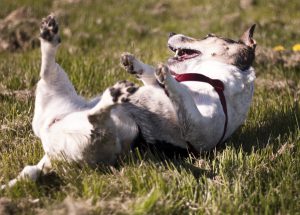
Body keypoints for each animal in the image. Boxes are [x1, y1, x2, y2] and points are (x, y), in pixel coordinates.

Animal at [1, 14, 255, 187]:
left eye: (209, 36)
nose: (169, 33)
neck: (214, 77)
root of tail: (50, 153)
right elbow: (155, 78)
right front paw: (136, 64)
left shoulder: (198, 131)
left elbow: (180, 93)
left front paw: (166, 76)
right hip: (55, 91)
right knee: (49, 70)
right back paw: (49, 36)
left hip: (105, 139)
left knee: (95, 121)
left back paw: (112, 96)